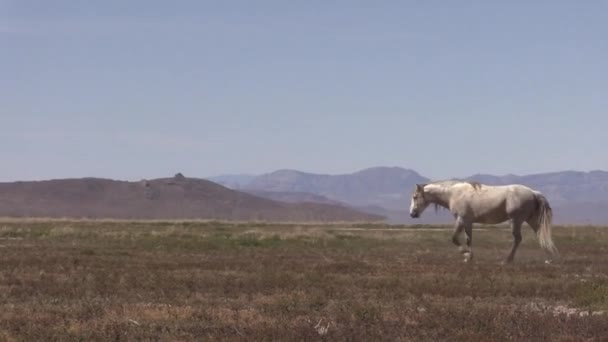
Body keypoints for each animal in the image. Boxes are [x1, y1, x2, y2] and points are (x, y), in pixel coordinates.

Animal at [408, 180, 556, 264]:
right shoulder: (468, 223)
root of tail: (533, 192)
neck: (453, 194)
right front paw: (469, 257)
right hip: (530, 220)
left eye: (415, 197)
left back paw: (507, 260)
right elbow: (469, 239)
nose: (412, 214)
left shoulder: (461, 220)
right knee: (540, 235)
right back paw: (548, 259)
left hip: (516, 221)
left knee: (517, 239)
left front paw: (465, 254)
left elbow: (454, 238)